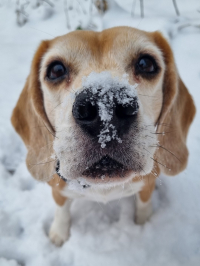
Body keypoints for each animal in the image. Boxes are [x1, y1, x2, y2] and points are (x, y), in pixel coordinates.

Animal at [10, 26, 195, 245]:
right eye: (56, 70)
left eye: (146, 64)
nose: (105, 108)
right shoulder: (57, 188)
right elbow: (62, 209)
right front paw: (59, 234)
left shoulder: (146, 185)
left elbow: (143, 205)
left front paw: (143, 223)